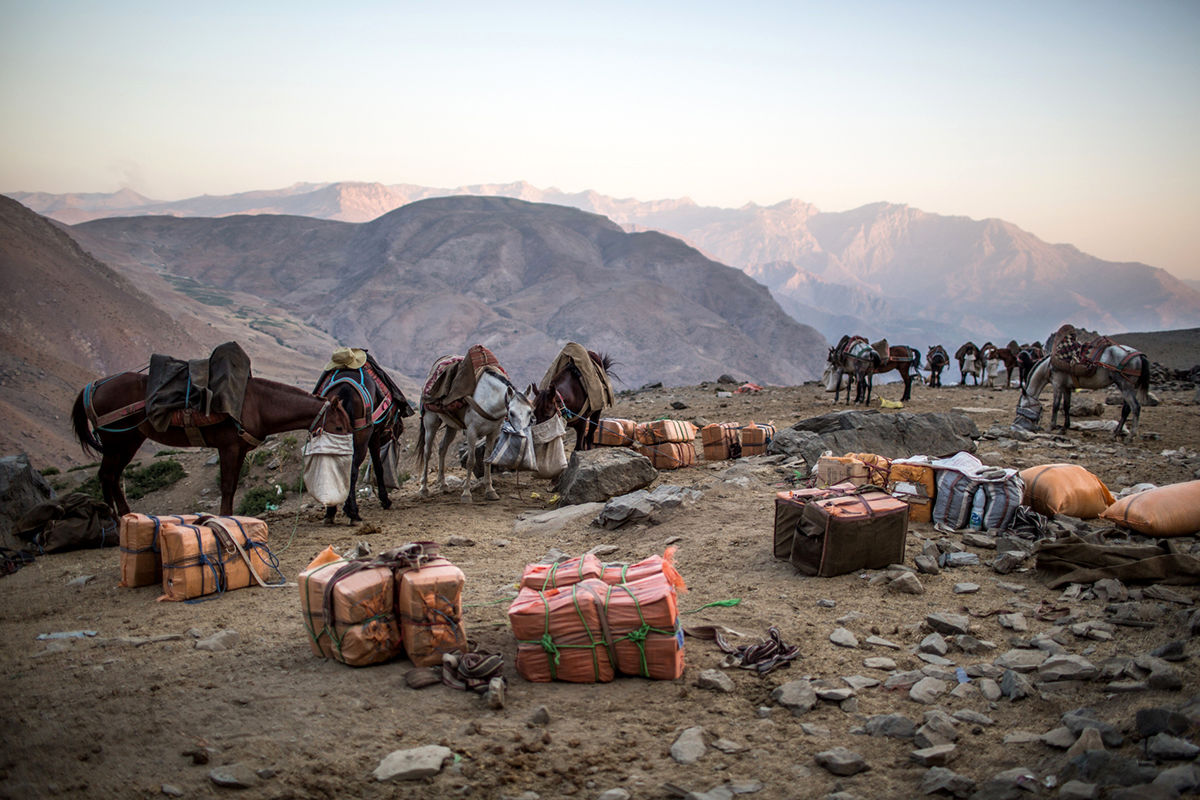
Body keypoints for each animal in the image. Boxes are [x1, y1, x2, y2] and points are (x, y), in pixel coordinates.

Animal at [72, 371, 350, 515]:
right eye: (338, 427)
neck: (258, 404)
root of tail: (94, 386)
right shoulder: (228, 447)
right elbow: (226, 486)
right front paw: (226, 519)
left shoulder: (240, 449)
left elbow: (233, 486)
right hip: (116, 441)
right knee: (107, 475)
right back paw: (114, 521)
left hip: (130, 440)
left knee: (113, 476)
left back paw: (126, 515)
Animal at [312, 350, 415, 525]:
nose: (399, 429)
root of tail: (344, 389)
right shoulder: (374, 435)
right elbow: (379, 467)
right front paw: (385, 500)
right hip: (362, 436)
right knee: (352, 470)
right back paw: (353, 513)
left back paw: (331, 512)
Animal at [420, 367, 537, 503]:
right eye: (511, 413)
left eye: (530, 411)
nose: (522, 435)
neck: (488, 401)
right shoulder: (472, 432)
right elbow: (471, 461)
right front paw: (466, 494)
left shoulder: (493, 433)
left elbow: (487, 459)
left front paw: (490, 491)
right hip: (430, 422)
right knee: (427, 452)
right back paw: (424, 489)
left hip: (451, 426)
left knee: (442, 448)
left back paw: (443, 484)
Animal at [1017, 345, 1147, 438]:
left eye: (1023, 406)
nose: (1018, 423)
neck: (1049, 366)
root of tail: (1139, 355)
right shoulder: (1066, 387)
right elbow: (1066, 406)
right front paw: (1064, 428)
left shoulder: (1057, 385)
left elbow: (1056, 406)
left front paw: (1051, 427)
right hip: (1131, 386)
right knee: (1127, 409)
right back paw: (1116, 433)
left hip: (1125, 385)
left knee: (1135, 407)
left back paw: (1130, 435)